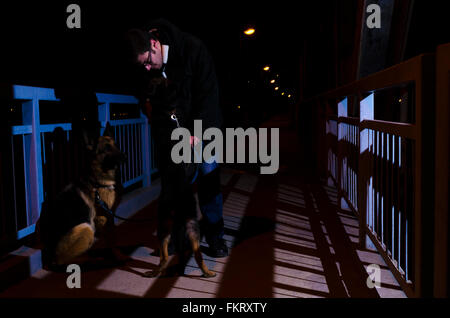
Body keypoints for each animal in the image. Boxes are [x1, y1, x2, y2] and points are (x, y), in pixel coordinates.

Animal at [35, 124, 127, 268]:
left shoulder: (109, 217)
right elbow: (111, 240)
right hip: (85, 228)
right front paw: (116, 256)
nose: (125, 156)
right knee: (62, 261)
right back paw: (91, 260)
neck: (98, 181)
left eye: (116, 145)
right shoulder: (104, 218)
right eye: (107, 148)